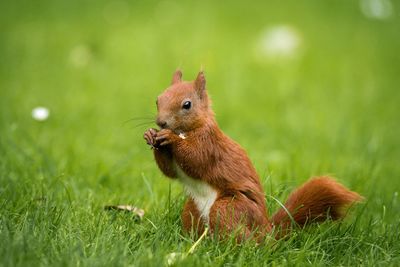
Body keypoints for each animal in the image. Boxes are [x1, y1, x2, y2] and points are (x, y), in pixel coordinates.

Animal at [144, 69, 362, 241]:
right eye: (157, 100)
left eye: (187, 105)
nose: (161, 122)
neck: (189, 130)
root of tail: (267, 232)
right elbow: (170, 170)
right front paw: (151, 135)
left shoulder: (209, 144)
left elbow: (195, 159)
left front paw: (170, 138)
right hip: (192, 210)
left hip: (230, 207)